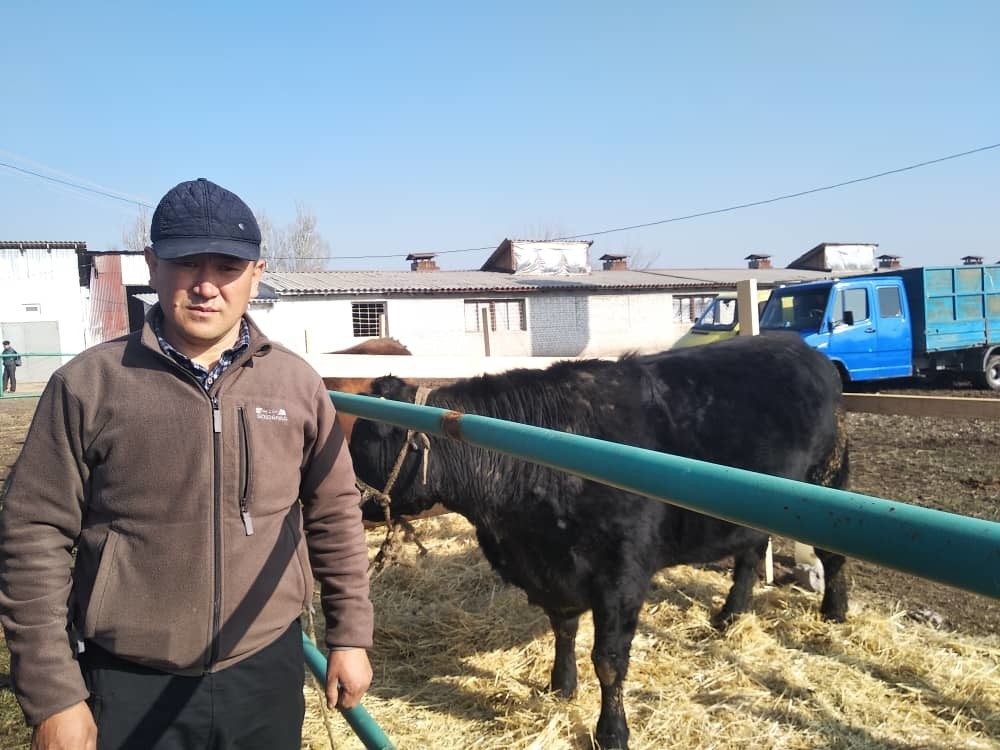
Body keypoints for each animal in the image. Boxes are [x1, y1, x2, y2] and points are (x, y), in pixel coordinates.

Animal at [348, 333, 850, 750]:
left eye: (362, 439)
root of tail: (803, 349)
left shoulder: (620, 575)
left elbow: (608, 660)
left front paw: (612, 733)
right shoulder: (553, 571)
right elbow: (564, 629)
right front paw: (560, 685)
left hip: (827, 479)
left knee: (831, 554)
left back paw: (835, 612)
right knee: (750, 551)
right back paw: (730, 616)